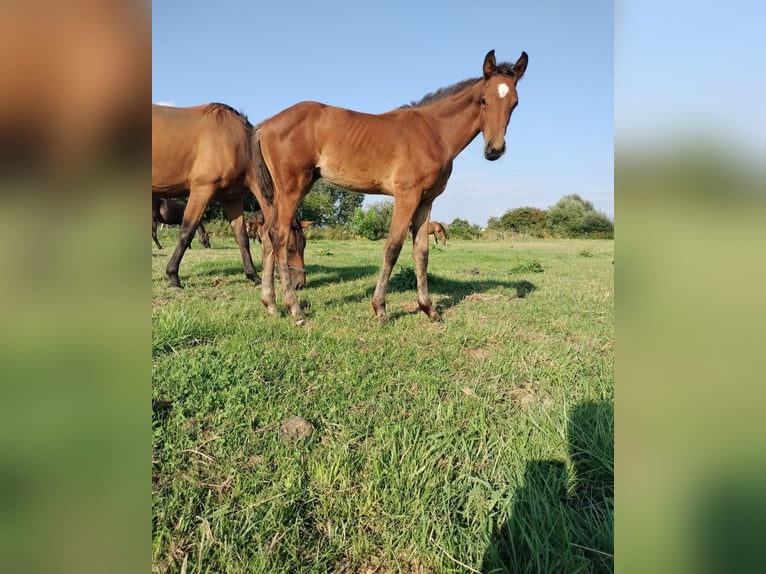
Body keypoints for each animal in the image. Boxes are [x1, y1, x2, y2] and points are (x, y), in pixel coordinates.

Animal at [153, 103, 308, 290]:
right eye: (290, 248)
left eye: (304, 244)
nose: (300, 284)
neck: (236, 144)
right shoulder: (202, 190)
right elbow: (186, 232)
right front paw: (173, 276)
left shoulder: (231, 198)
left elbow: (242, 237)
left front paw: (254, 277)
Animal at [255, 49, 532, 324]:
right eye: (483, 100)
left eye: (515, 103)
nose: (494, 150)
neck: (434, 133)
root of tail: (266, 125)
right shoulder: (406, 196)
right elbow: (393, 247)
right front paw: (381, 309)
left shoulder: (426, 200)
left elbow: (421, 252)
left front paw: (429, 309)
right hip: (292, 187)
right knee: (280, 236)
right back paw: (295, 309)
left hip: (283, 192)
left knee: (267, 234)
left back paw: (271, 305)